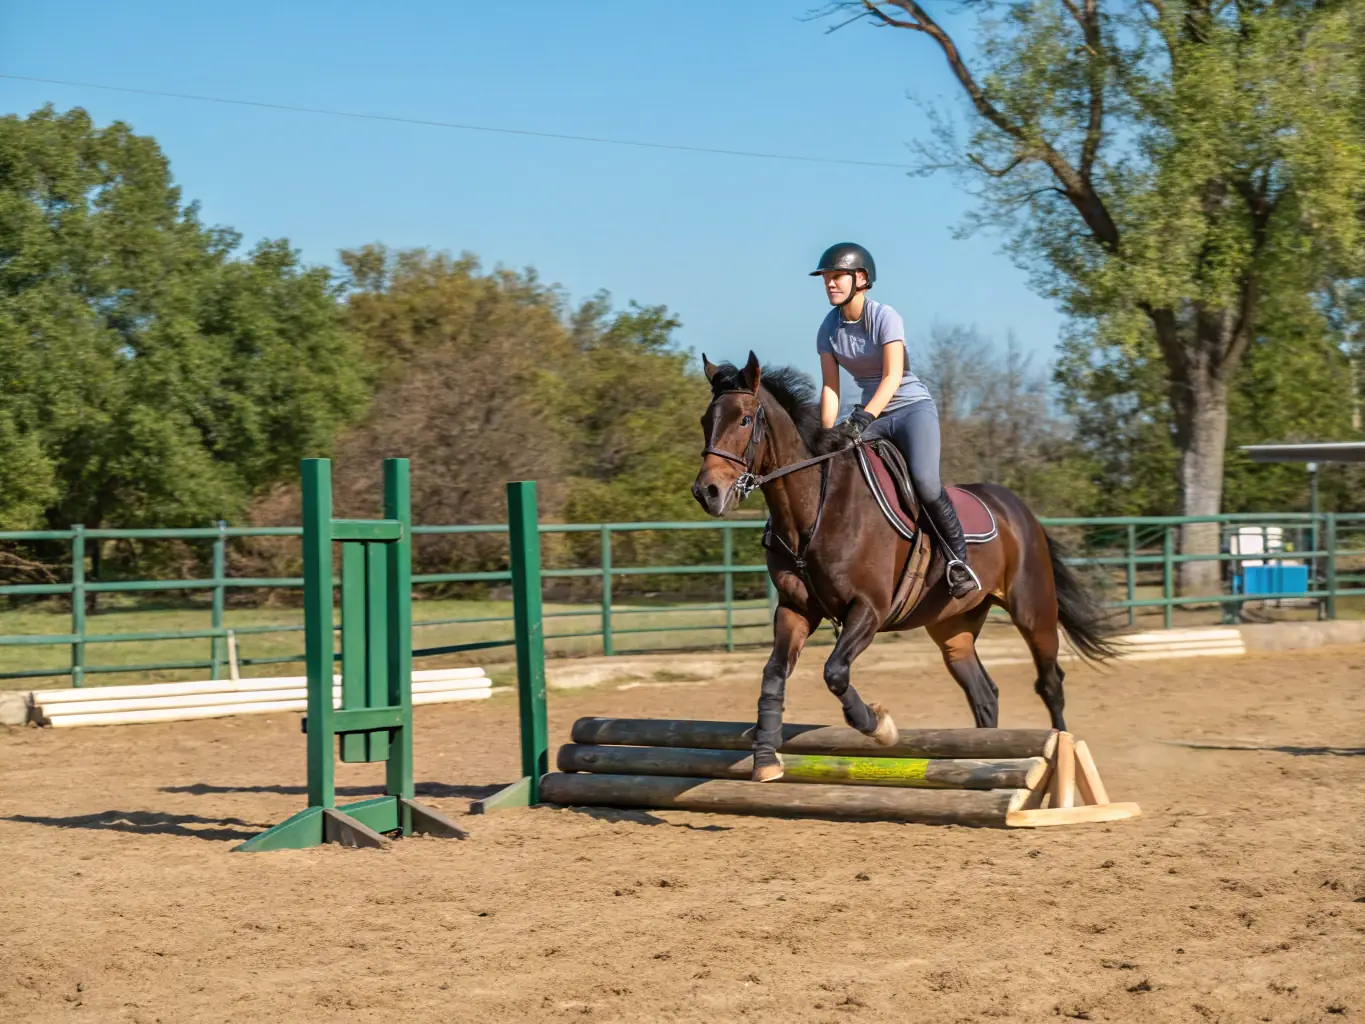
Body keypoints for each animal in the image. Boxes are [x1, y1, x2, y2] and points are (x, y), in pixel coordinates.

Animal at [691, 352, 1119, 782]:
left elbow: (835, 672)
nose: (706, 492)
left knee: (1050, 683)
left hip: (1034, 612)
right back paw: (981, 755)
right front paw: (765, 753)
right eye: (706, 420)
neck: (814, 507)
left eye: (745, 420)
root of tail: (1019, 509)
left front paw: (879, 725)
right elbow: (774, 674)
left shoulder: (870, 609)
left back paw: (1059, 749)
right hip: (953, 626)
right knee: (984, 694)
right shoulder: (796, 609)